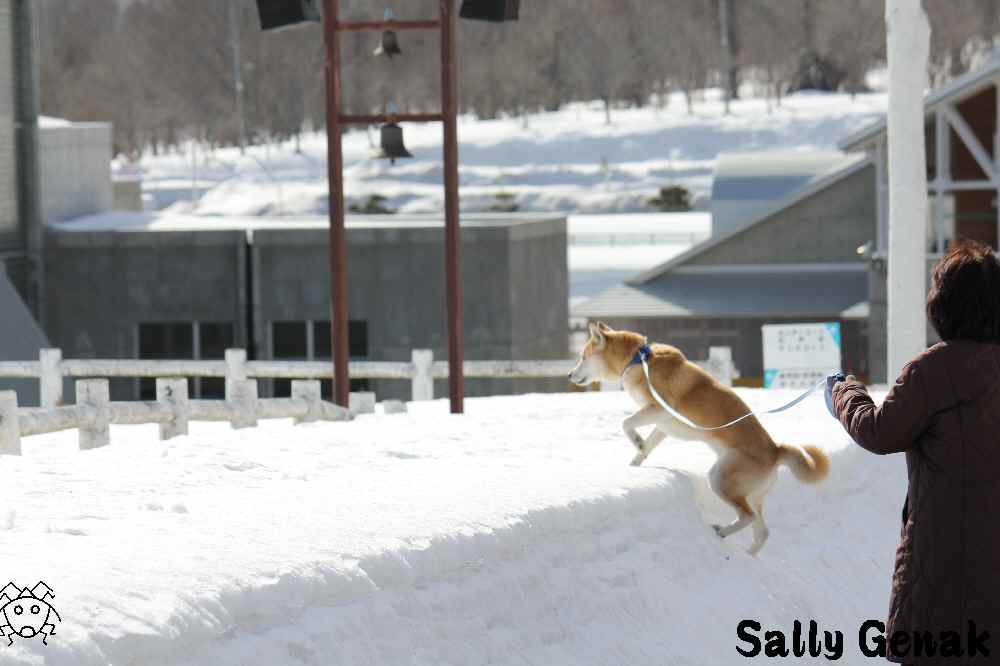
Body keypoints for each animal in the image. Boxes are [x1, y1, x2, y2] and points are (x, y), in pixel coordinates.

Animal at [568, 321, 829, 555]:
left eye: (582, 356)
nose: (570, 374)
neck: (638, 360)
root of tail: (775, 450)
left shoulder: (659, 410)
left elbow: (627, 423)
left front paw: (637, 442)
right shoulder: (662, 425)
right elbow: (647, 444)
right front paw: (635, 463)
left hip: (720, 479)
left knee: (747, 516)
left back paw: (721, 532)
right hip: (751, 494)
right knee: (762, 532)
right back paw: (750, 554)